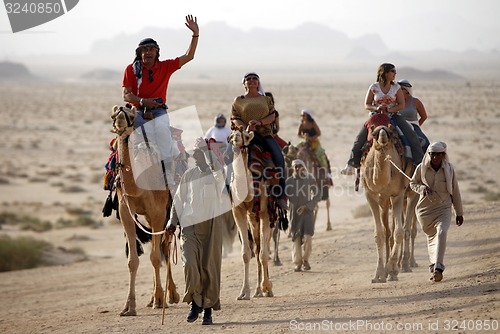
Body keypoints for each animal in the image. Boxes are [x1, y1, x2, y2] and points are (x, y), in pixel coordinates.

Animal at [110, 106, 180, 316]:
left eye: (131, 115)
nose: (120, 117)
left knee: (165, 247)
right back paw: (156, 297)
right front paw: (129, 307)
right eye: (113, 115)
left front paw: (159, 300)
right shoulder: (125, 211)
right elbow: (132, 260)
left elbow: (155, 257)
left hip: (165, 210)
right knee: (162, 246)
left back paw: (170, 296)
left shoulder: (158, 212)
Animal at [229, 126, 276, 298]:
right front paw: (244, 292)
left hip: (269, 217)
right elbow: (246, 254)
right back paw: (257, 291)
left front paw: (267, 287)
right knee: (256, 247)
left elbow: (263, 253)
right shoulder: (238, 211)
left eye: (245, 135)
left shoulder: (265, 212)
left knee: (264, 247)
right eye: (231, 134)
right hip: (252, 219)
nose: (235, 137)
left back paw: (265, 288)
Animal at [362, 124, 412, 284]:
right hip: (384, 202)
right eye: (374, 133)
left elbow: (399, 232)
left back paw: (401, 267)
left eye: (390, 132)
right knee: (387, 231)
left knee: (403, 228)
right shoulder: (370, 195)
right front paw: (378, 274)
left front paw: (391, 268)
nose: (383, 136)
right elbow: (379, 234)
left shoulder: (398, 195)